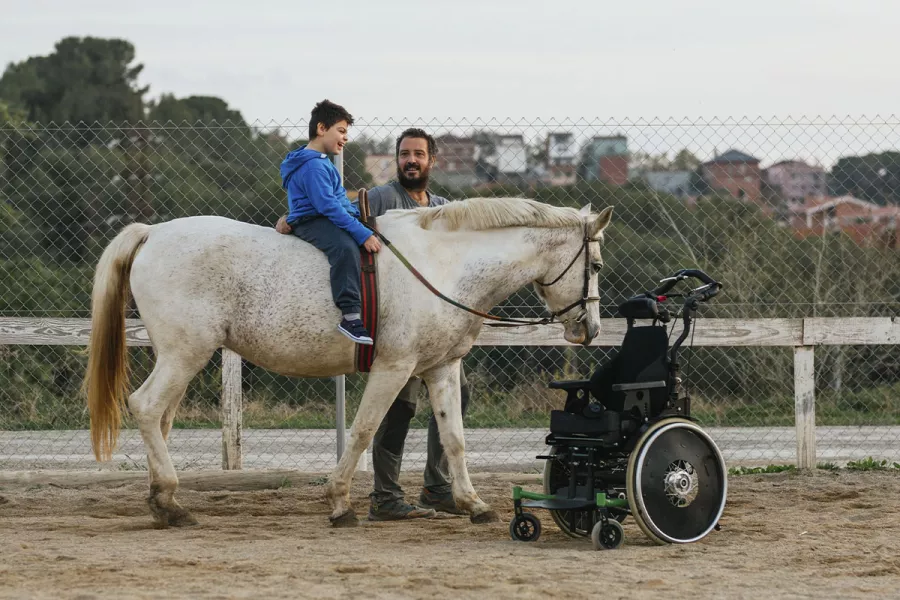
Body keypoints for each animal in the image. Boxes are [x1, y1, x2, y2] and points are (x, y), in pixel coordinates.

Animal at [84, 196, 612, 524]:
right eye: (597, 265)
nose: (590, 330)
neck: (442, 265)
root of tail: (152, 233)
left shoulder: (440, 368)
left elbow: (455, 440)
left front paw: (473, 504)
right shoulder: (394, 368)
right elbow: (363, 431)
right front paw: (339, 503)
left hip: (179, 357)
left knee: (161, 418)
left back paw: (162, 499)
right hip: (185, 353)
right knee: (147, 407)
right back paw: (169, 503)